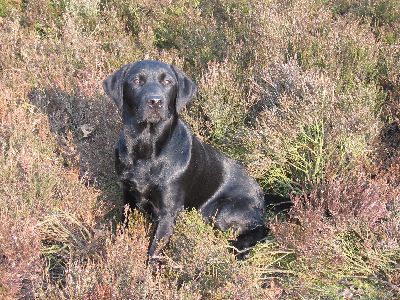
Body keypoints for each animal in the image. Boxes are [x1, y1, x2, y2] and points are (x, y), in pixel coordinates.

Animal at [103, 60, 270, 258]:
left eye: (167, 81)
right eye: (137, 81)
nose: (155, 101)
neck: (146, 146)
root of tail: (262, 195)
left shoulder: (168, 211)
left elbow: (155, 250)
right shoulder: (128, 196)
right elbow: (123, 226)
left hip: (222, 212)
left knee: (262, 229)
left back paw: (239, 248)